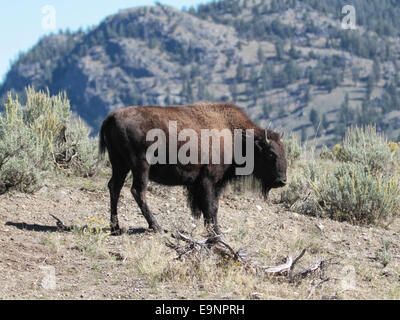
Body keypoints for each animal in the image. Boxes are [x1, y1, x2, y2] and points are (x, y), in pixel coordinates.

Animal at [100, 102, 288, 235]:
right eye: (271, 154)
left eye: (284, 151)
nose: (282, 181)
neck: (235, 136)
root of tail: (112, 117)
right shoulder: (208, 180)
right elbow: (211, 206)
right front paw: (216, 231)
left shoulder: (211, 183)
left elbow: (210, 206)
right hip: (141, 166)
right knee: (138, 191)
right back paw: (157, 227)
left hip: (119, 165)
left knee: (114, 187)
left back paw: (116, 228)